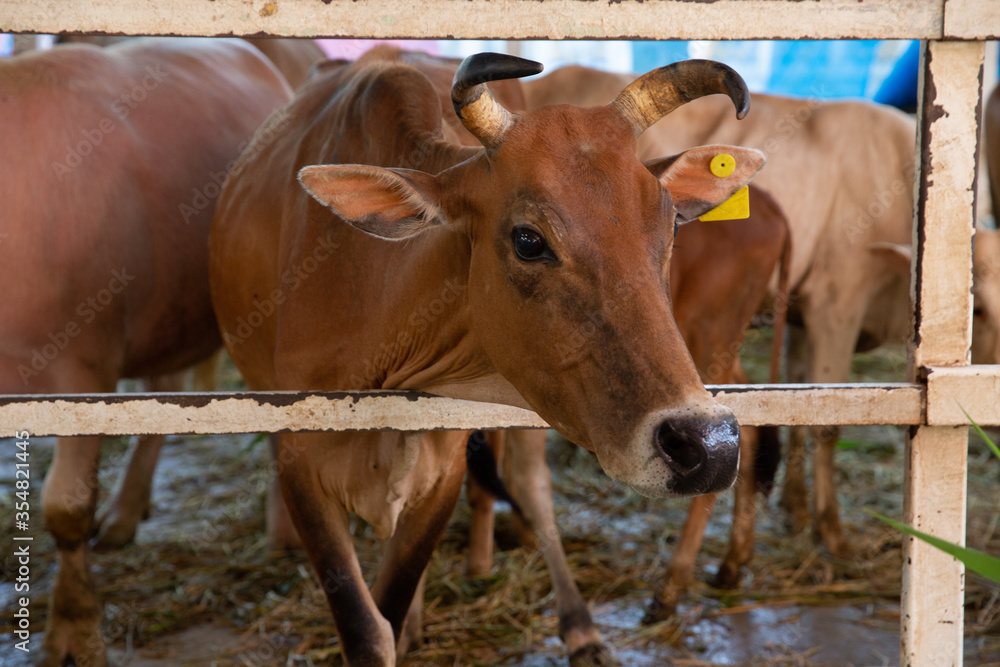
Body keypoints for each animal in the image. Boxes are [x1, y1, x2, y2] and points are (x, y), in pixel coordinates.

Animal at [209, 49, 756, 664]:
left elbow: (392, 602)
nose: (707, 445)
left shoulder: (443, 466)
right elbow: (367, 629)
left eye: (669, 231)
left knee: (529, 483)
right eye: (528, 240)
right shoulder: (299, 461)